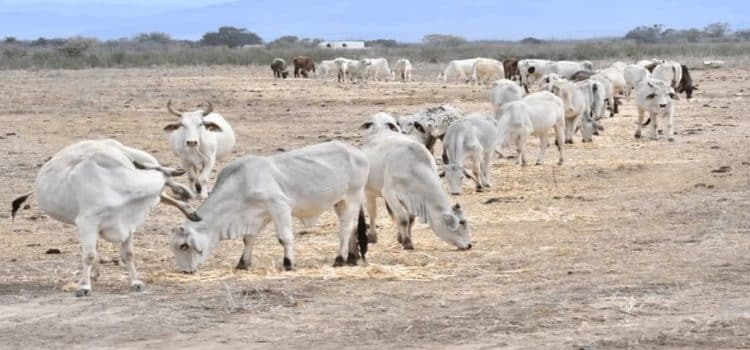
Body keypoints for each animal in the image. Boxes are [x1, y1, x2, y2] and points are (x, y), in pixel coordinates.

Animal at [12, 139, 200, 296]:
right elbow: (89, 255)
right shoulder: (87, 223)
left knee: (163, 188)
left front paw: (135, 282)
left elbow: (128, 254)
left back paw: (187, 203)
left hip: (139, 157)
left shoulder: (127, 223)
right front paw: (84, 286)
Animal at [169, 141, 372, 272]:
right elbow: (248, 239)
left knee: (346, 228)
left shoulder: (280, 207)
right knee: (352, 226)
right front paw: (243, 263)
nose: (186, 271)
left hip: (353, 195)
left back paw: (339, 259)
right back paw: (352, 257)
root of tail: (357, 152)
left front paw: (289, 263)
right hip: (340, 202)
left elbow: (285, 238)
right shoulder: (254, 217)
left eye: (183, 246)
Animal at [362, 112, 472, 249]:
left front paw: (405, 238)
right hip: (369, 190)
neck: (412, 166)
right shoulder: (389, 193)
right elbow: (403, 219)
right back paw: (372, 236)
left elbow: (409, 219)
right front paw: (407, 242)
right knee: (372, 213)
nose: (469, 245)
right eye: (461, 222)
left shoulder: (412, 199)